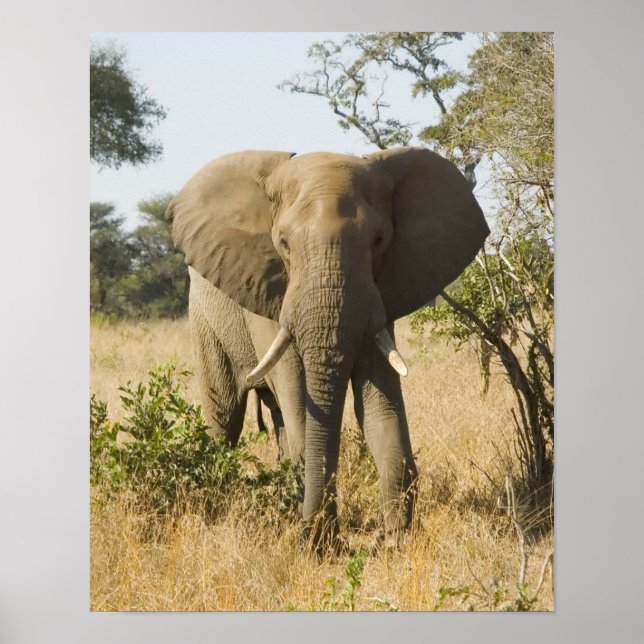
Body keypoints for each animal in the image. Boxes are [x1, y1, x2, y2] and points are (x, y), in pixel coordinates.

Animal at [166, 147, 489, 549]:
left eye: (379, 240)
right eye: (283, 243)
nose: (328, 539)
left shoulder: (379, 297)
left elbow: (379, 408)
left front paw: (395, 542)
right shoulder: (271, 295)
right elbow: (301, 404)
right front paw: (318, 545)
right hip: (205, 318)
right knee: (225, 417)